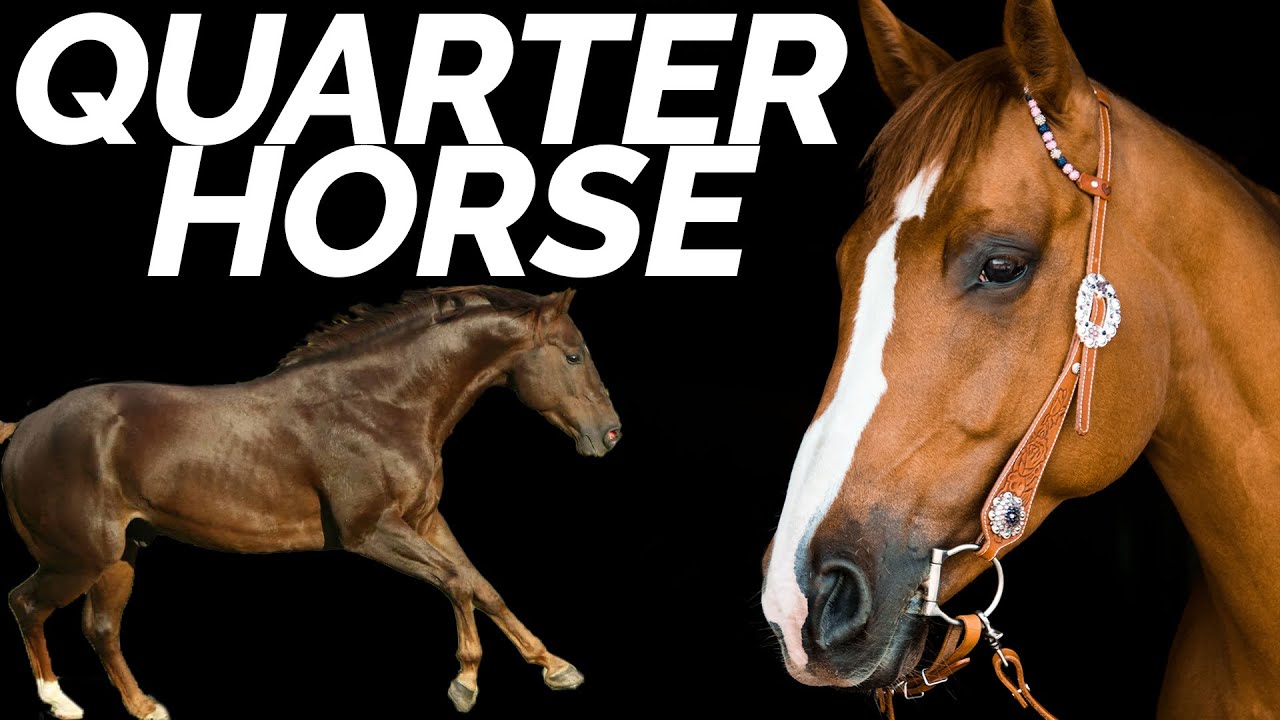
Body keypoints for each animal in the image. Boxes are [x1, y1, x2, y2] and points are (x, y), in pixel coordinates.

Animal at [1, 285, 621, 719]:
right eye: (573, 356)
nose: (611, 434)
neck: (380, 404)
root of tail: (23, 429)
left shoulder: (424, 520)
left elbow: (482, 585)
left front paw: (557, 667)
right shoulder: (371, 531)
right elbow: (456, 583)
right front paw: (464, 684)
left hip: (120, 557)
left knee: (101, 628)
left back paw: (146, 707)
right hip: (79, 558)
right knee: (26, 604)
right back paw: (60, 703)